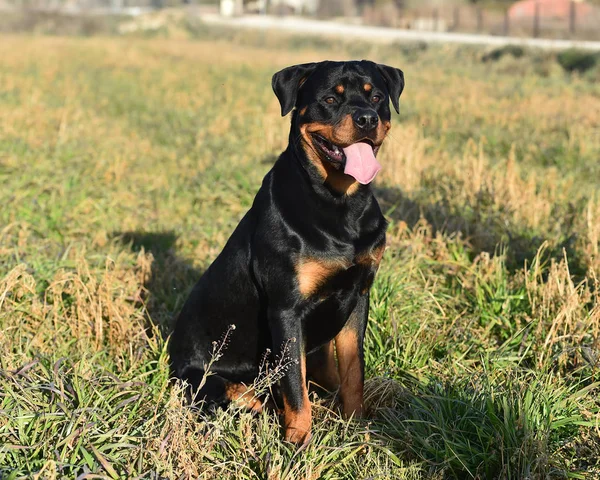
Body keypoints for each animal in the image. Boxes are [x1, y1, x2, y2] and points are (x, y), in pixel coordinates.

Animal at [169, 60, 404, 446]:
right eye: (330, 99)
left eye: (377, 97)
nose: (367, 118)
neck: (340, 204)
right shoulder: (286, 309)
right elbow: (294, 385)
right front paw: (298, 442)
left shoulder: (358, 295)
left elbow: (354, 370)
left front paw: (356, 425)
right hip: (211, 384)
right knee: (250, 397)